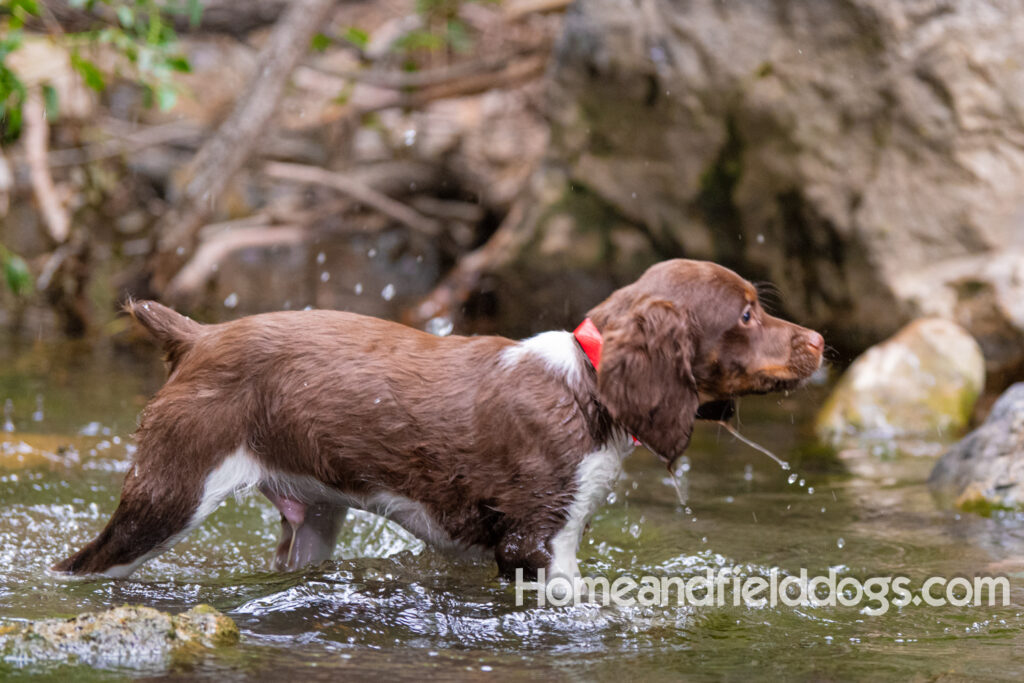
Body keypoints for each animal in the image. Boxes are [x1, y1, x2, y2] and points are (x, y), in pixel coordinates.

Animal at [54, 262, 823, 581]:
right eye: (746, 313)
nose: (820, 340)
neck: (586, 381)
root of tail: (199, 336)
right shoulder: (533, 540)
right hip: (171, 493)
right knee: (85, 564)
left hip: (314, 522)